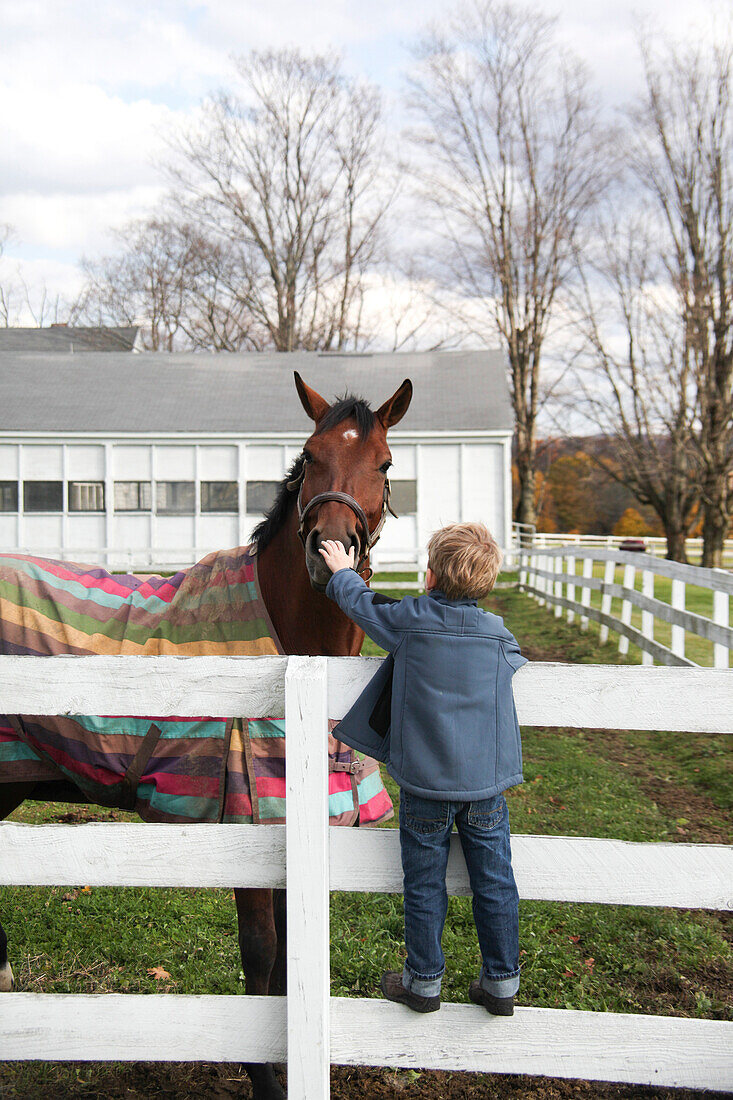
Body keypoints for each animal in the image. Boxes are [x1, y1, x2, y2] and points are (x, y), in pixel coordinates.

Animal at [0, 371, 411, 1100]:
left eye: (385, 464)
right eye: (308, 456)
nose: (328, 547)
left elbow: (287, 958)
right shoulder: (246, 826)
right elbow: (262, 956)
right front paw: (265, 1077)